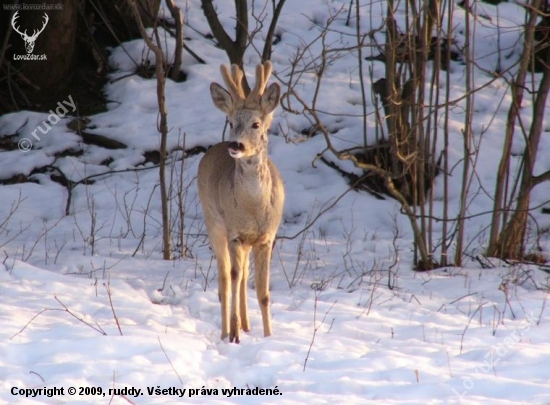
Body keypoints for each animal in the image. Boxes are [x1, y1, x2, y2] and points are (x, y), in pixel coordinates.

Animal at [198, 61, 284, 342]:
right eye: (231, 121)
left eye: (256, 124)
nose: (236, 145)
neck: (254, 209)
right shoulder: (235, 234)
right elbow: (233, 280)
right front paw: (234, 334)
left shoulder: (266, 237)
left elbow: (263, 293)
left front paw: (268, 336)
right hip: (213, 222)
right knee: (226, 279)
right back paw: (228, 331)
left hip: (245, 243)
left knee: (244, 276)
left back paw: (246, 325)